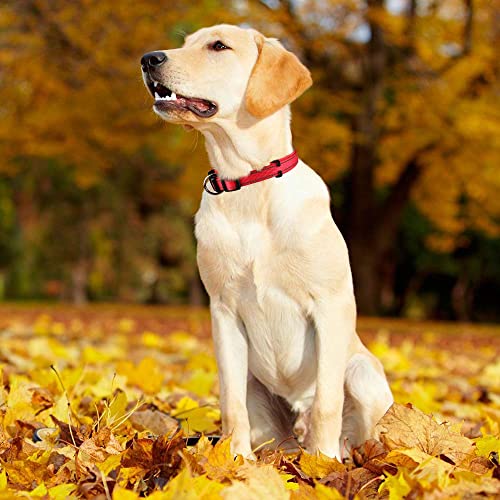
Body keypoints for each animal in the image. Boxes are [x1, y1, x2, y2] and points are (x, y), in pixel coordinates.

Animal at [141, 25, 394, 458]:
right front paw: (234, 460)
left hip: (364, 375)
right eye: (186, 41)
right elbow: (231, 404)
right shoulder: (223, 311)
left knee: (354, 425)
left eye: (218, 46)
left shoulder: (331, 305)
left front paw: (323, 463)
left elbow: (328, 401)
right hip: (258, 393)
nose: (148, 59)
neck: (248, 182)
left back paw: (343, 453)